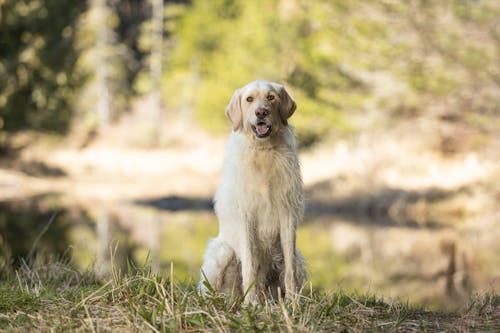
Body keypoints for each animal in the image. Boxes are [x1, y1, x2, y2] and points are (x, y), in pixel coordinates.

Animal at [197, 81, 306, 304]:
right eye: (249, 99)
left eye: (271, 97)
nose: (261, 112)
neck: (263, 151)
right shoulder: (245, 216)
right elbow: (249, 265)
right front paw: (252, 303)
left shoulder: (287, 213)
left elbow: (289, 269)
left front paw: (293, 303)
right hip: (222, 251)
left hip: (298, 258)